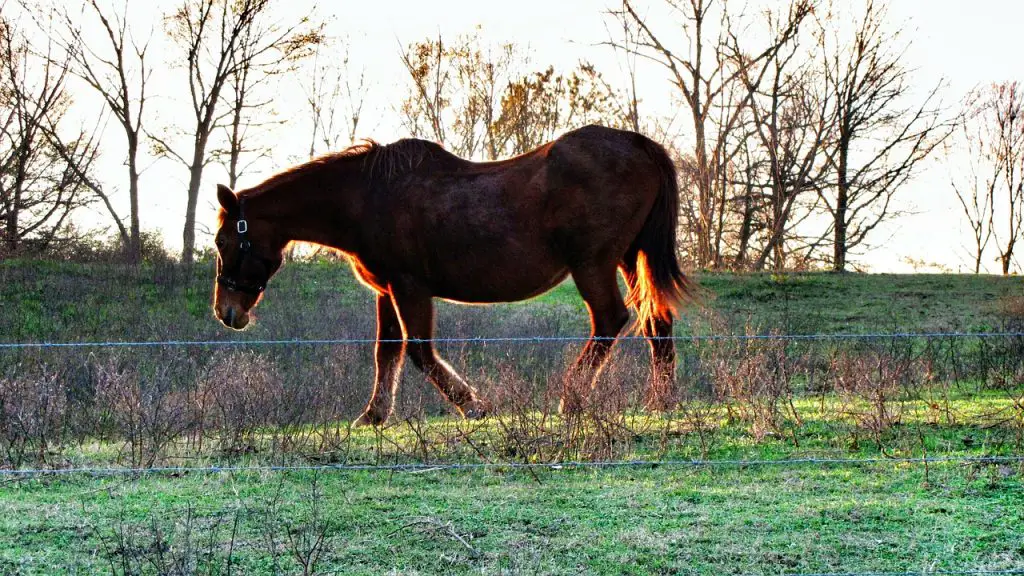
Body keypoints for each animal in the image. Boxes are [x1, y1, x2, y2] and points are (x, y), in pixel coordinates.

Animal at [215, 123, 696, 424]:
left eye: (223, 242)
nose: (227, 312)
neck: (367, 197)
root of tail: (639, 144)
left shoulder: (409, 288)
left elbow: (420, 353)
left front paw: (473, 404)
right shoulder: (386, 292)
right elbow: (386, 353)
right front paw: (373, 414)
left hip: (593, 264)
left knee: (611, 319)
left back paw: (572, 398)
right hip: (630, 258)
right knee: (656, 321)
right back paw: (662, 400)